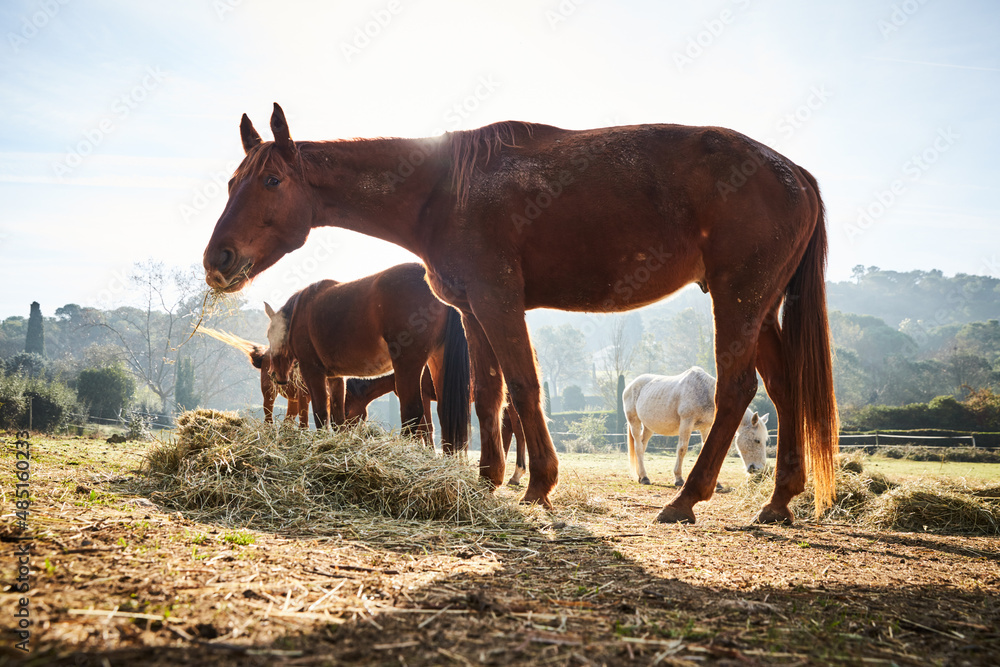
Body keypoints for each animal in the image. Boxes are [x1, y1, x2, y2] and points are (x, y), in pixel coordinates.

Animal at [264, 263, 471, 452]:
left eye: (269, 335)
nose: (274, 375)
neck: (301, 311)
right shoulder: (336, 378)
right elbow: (337, 417)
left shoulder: (313, 372)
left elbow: (321, 413)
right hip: (436, 362)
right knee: (444, 414)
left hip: (408, 365)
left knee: (412, 411)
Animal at [624, 367, 769, 488]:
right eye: (757, 440)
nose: (758, 469)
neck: (706, 393)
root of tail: (630, 385)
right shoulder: (686, 423)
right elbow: (682, 449)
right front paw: (679, 479)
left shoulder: (705, 428)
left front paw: (715, 483)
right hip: (634, 422)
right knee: (638, 447)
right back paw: (644, 478)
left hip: (649, 427)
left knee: (642, 447)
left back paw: (641, 475)